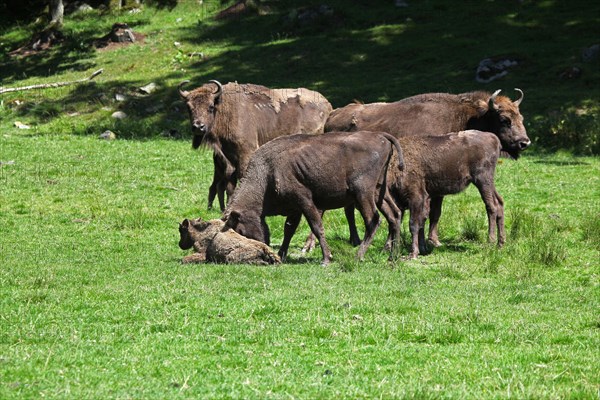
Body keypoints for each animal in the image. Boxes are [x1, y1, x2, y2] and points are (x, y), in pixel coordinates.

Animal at [178, 80, 336, 208]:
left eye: (210, 107)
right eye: (189, 107)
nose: (198, 127)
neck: (225, 109)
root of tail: (327, 105)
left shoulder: (246, 153)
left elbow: (242, 178)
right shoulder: (228, 159)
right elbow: (230, 184)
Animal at [223, 131, 406, 266]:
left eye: (239, 230)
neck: (267, 172)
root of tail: (381, 136)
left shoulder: (305, 202)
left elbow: (317, 227)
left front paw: (326, 259)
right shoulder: (295, 209)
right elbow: (289, 230)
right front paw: (281, 255)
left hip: (362, 193)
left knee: (374, 221)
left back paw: (358, 256)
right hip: (379, 191)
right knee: (394, 215)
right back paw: (392, 257)